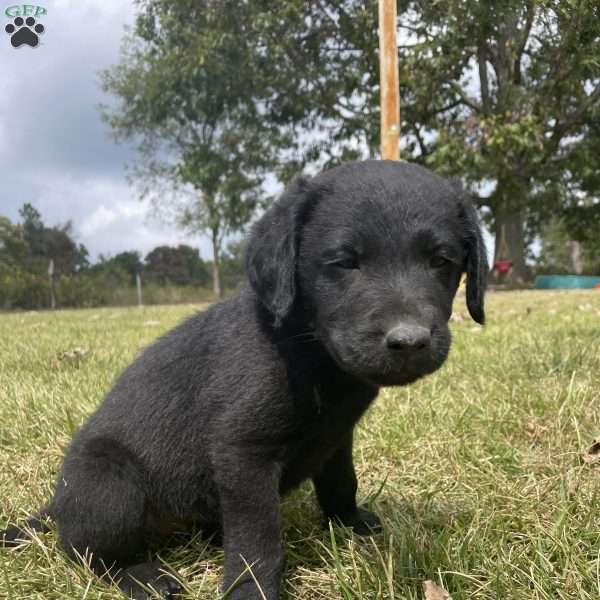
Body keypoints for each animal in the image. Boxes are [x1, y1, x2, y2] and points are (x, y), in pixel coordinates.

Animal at [1, 161, 488, 600]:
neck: (307, 349)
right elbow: (258, 543)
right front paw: (251, 591)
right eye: (344, 262)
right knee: (87, 554)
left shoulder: (337, 436)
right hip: (110, 485)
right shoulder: (243, 452)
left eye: (441, 261)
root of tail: (56, 507)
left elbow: (340, 483)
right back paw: (142, 577)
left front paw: (350, 524)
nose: (410, 341)